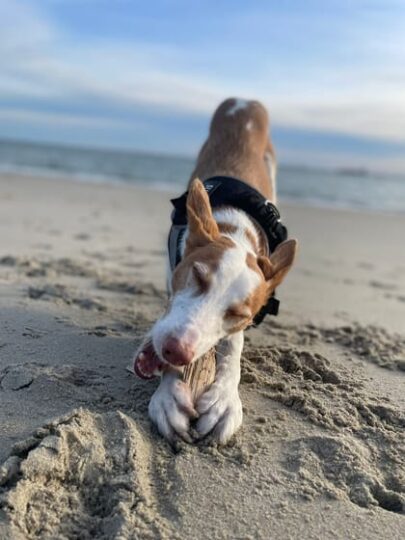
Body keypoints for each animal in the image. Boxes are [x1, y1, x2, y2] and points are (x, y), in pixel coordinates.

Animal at [133, 97, 296, 442]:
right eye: (197, 275)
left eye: (237, 315)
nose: (177, 351)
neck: (235, 227)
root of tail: (246, 101)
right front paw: (168, 395)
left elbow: (234, 346)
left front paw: (224, 398)